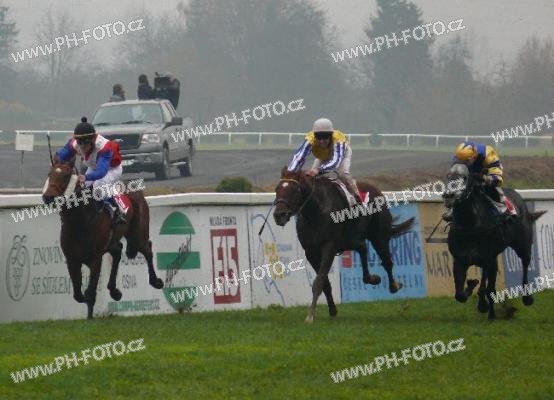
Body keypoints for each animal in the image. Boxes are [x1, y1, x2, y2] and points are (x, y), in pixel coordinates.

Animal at [42, 163, 164, 319]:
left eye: (66, 176)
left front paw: (90, 318)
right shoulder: (71, 259)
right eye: (49, 174)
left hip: (137, 234)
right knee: (118, 251)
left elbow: (90, 291)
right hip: (113, 241)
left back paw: (156, 281)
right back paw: (114, 291)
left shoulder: (95, 259)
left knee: (147, 249)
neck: (79, 222)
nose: (48, 197)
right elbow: (77, 294)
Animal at [273, 167, 415, 322]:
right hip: (350, 240)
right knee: (363, 248)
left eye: (293, 190)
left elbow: (318, 282)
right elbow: (325, 283)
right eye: (277, 189)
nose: (278, 215)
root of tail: (378, 191)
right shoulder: (311, 252)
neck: (316, 211)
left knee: (387, 261)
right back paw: (371, 278)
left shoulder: (329, 247)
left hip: (378, 236)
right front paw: (332, 309)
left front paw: (310, 315)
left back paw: (394, 285)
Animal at [443, 163, 546, 320]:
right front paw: (473, 287)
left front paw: (487, 310)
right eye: (449, 176)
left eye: (465, 178)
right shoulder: (460, 260)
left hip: (523, 246)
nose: (449, 196)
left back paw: (527, 297)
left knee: (525, 264)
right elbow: (460, 295)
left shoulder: (488, 259)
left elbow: (489, 289)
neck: (470, 225)